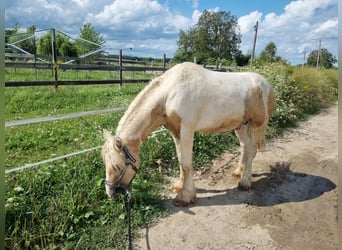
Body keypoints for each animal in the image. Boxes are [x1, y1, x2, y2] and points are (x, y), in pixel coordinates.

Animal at [101, 62, 276, 207]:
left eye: (117, 166)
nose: (110, 193)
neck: (169, 94)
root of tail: (266, 83)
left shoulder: (187, 130)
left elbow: (186, 164)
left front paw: (185, 196)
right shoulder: (175, 132)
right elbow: (180, 160)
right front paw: (179, 186)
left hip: (256, 125)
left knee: (251, 149)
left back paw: (245, 182)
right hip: (241, 126)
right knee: (245, 146)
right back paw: (239, 171)